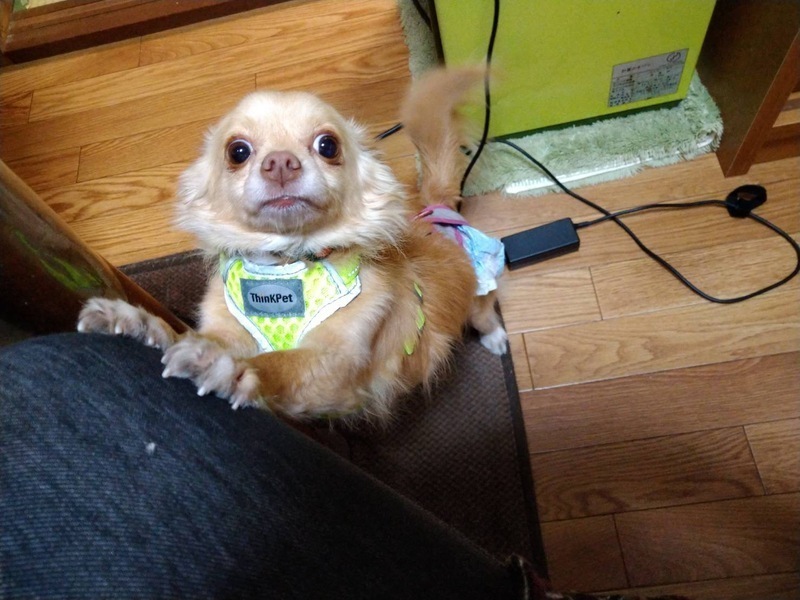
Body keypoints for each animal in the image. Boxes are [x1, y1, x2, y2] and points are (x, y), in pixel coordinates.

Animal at [77, 68, 507, 422]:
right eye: (237, 151)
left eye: (328, 146)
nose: (280, 162)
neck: (284, 263)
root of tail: (435, 209)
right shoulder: (229, 329)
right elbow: (187, 334)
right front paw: (141, 324)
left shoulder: (336, 368)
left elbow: (281, 364)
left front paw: (227, 366)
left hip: (479, 292)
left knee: (485, 311)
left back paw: (496, 338)